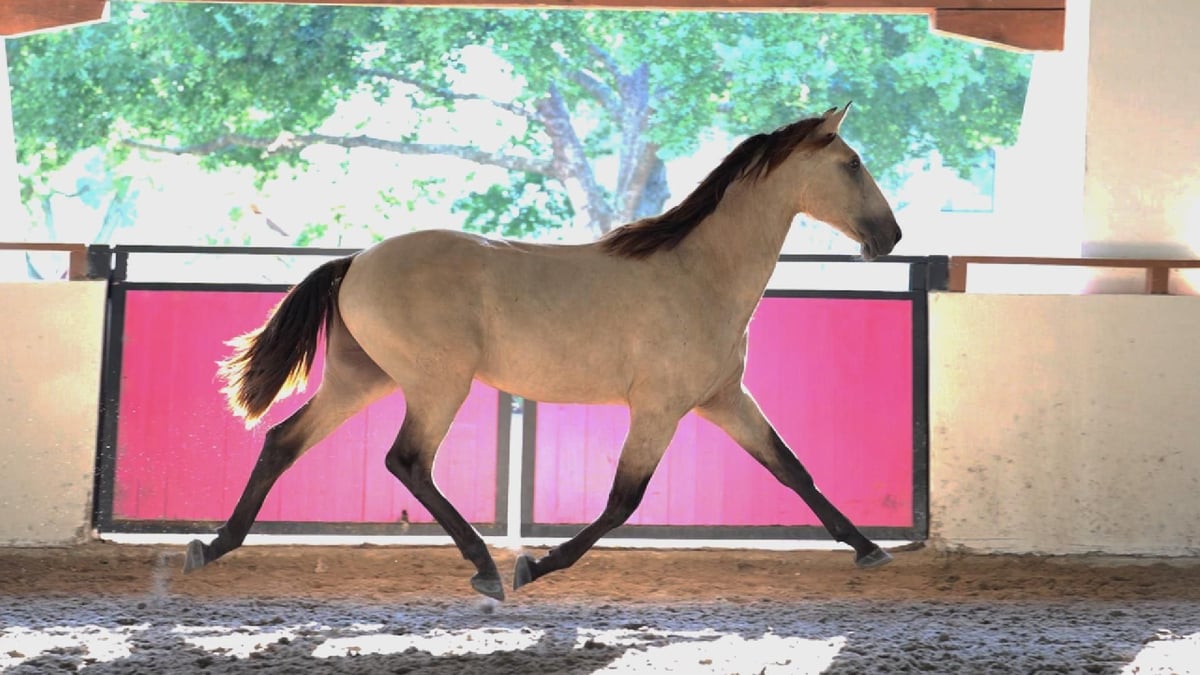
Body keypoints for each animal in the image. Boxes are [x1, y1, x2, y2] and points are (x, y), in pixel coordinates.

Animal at [182, 103, 903, 601]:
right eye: (851, 163)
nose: (890, 236)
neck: (699, 272)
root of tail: (356, 261)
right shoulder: (660, 408)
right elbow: (623, 501)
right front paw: (536, 563)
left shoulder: (724, 399)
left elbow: (793, 470)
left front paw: (869, 549)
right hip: (437, 385)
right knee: (407, 461)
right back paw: (485, 568)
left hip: (363, 380)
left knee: (283, 441)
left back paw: (211, 547)